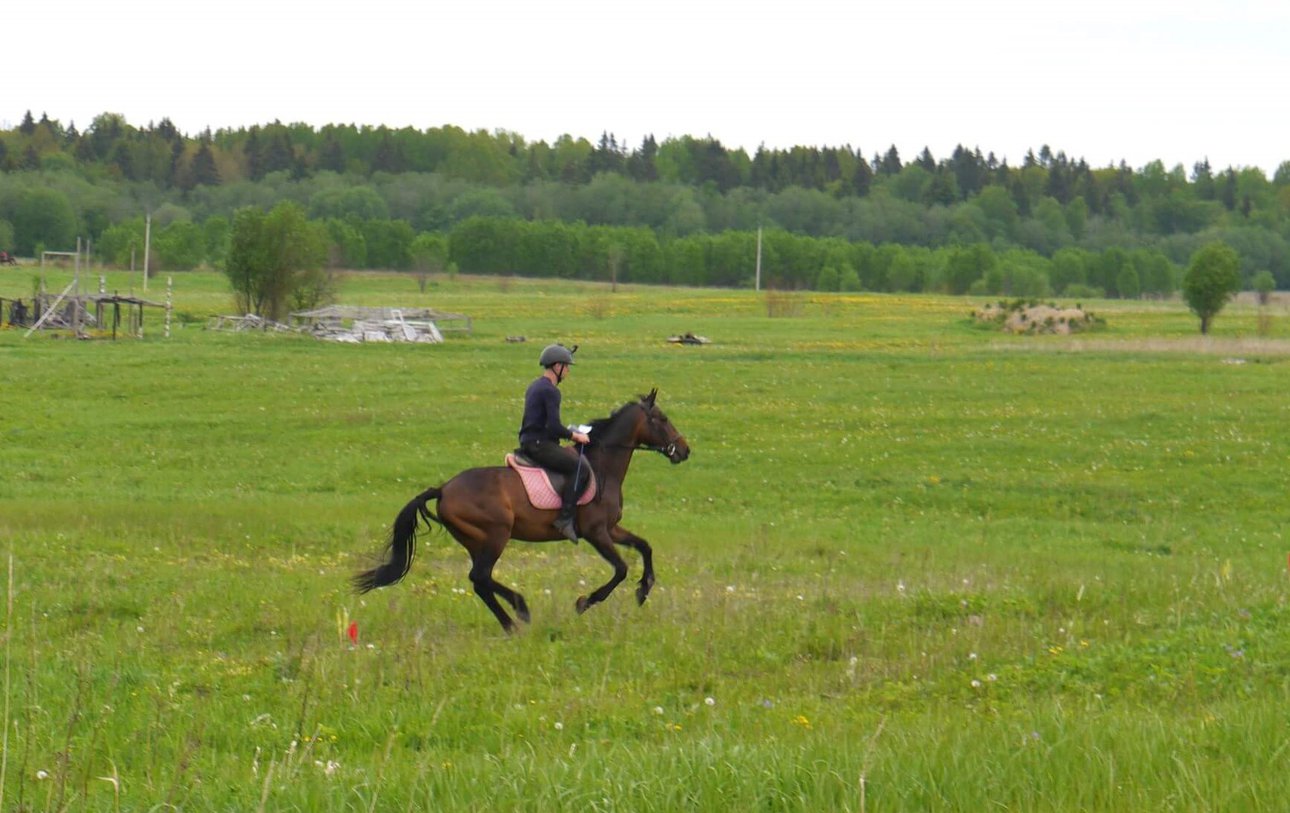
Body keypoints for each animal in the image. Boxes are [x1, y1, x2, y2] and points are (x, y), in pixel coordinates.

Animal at [353, 392, 691, 634]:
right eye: (662, 419)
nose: (685, 450)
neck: (602, 466)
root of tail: (444, 488)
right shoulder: (595, 533)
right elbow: (620, 569)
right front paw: (585, 602)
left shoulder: (610, 529)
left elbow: (645, 546)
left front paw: (644, 589)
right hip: (495, 535)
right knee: (480, 577)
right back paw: (520, 611)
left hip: (476, 540)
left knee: (480, 581)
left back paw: (513, 620)